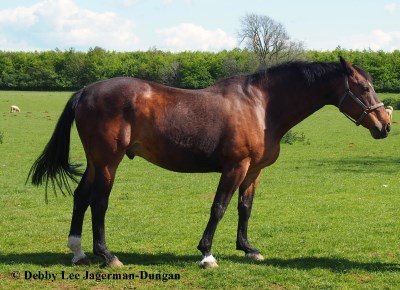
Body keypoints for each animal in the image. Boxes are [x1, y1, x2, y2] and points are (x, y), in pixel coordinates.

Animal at [28, 57, 390, 270]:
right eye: (364, 87)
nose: (385, 124)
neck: (261, 107)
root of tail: (85, 91)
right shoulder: (235, 167)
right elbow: (219, 207)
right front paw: (206, 254)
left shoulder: (253, 171)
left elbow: (245, 208)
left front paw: (248, 249)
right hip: (108, 161)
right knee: (99, 202)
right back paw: (107, 255)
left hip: (95, 161)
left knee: (80, 197)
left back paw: (78, 251)